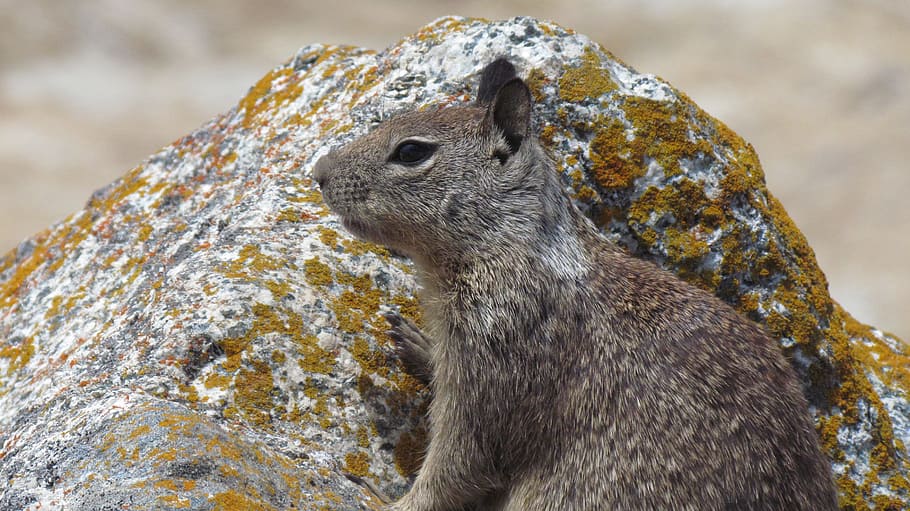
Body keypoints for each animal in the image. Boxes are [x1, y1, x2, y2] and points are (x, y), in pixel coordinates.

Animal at [313, 58, 838, 511]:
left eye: (411, 151)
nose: (318, 172)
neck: (508, 250)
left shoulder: (490, 379)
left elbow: (455, 470)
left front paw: (387, 500)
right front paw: (417, 344)